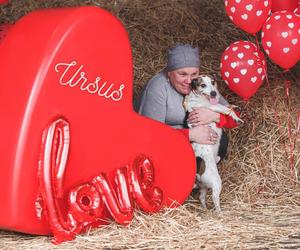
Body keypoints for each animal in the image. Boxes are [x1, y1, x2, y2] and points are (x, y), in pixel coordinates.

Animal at [183, 74, 241, 211]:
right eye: (202, 85)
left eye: (213, 82)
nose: (214, 93)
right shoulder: (211, 107)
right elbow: (225, 108)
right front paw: (236, 117)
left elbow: (228, 106)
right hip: (215, 182)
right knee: (215, 198)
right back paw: (219, 212)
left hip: (203, 186)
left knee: (202, 197)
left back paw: (205, 208)